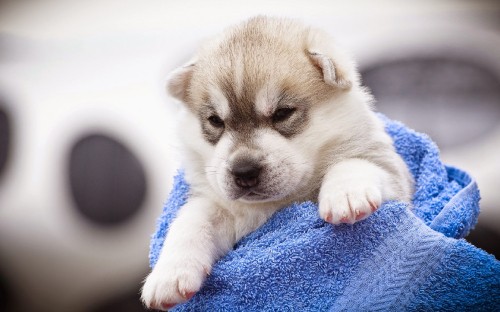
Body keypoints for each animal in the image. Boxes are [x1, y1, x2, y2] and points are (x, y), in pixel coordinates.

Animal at [140, 16, 410, 310]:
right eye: (216, 121)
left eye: (282, 113)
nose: (243, 171)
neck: (276, 204)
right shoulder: (222, 207)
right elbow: (191, 219)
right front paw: (169, 274)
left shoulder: (393, 174)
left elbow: (354, 163)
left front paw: (347, 194)